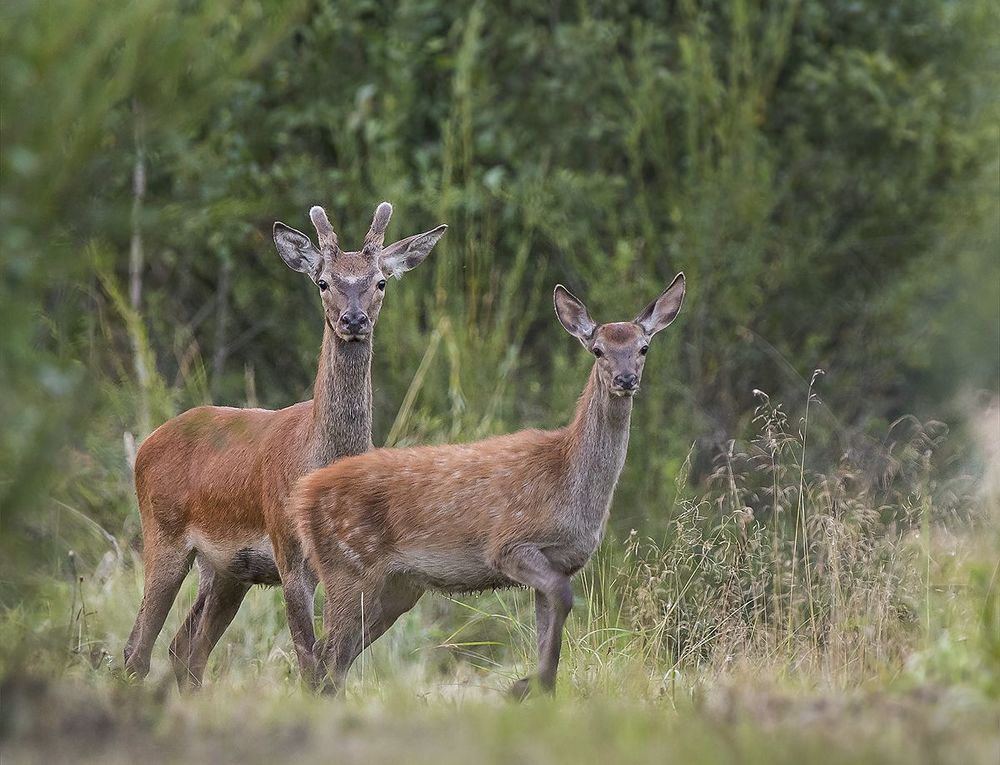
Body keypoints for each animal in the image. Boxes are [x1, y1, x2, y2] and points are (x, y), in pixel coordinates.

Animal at [123, 202, 447, 691]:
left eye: (380, 281)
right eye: (323, 281)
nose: (354, 320)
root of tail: (146, 446)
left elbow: (334, 664)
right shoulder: (290, 553)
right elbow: (311, 664)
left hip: (226, 570)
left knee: (185, 648)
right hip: (163, 533)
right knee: (138, 647)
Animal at [290, 273, 686, 698]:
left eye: (643, 347)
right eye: (597, 350)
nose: (625, 379)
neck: (569, 480)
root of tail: (304, 493)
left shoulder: (560, 561)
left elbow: (551, 621)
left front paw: (540, 688)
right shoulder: (508, 543)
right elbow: (564, 599)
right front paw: (523, 685)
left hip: (398, 586)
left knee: (336, 656)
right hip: (347, 566)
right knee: (327, 653)